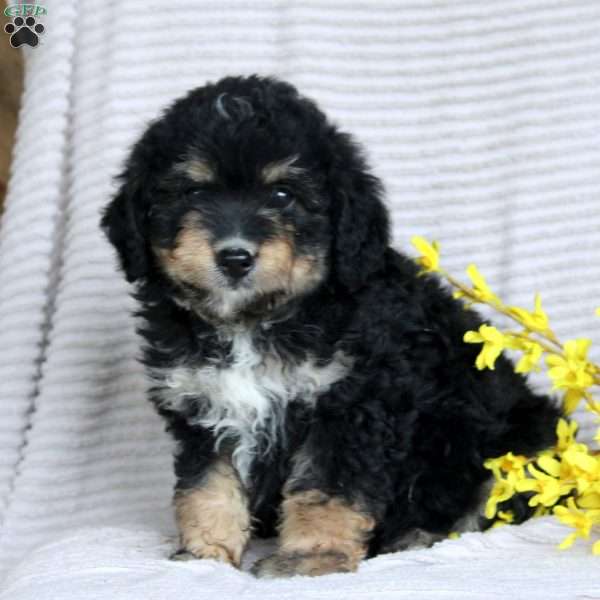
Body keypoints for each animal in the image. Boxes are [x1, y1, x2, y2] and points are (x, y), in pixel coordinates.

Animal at [101, 74, 560, 576]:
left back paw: (418, 537)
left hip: (517, 444)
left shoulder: (350, 404)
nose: (235, 257)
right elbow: (208, 484)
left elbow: (326, 488)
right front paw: (206, 553)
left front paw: (310, 558)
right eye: (194, 193)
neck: (255, 321)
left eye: (283, 195)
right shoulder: (203, 404)